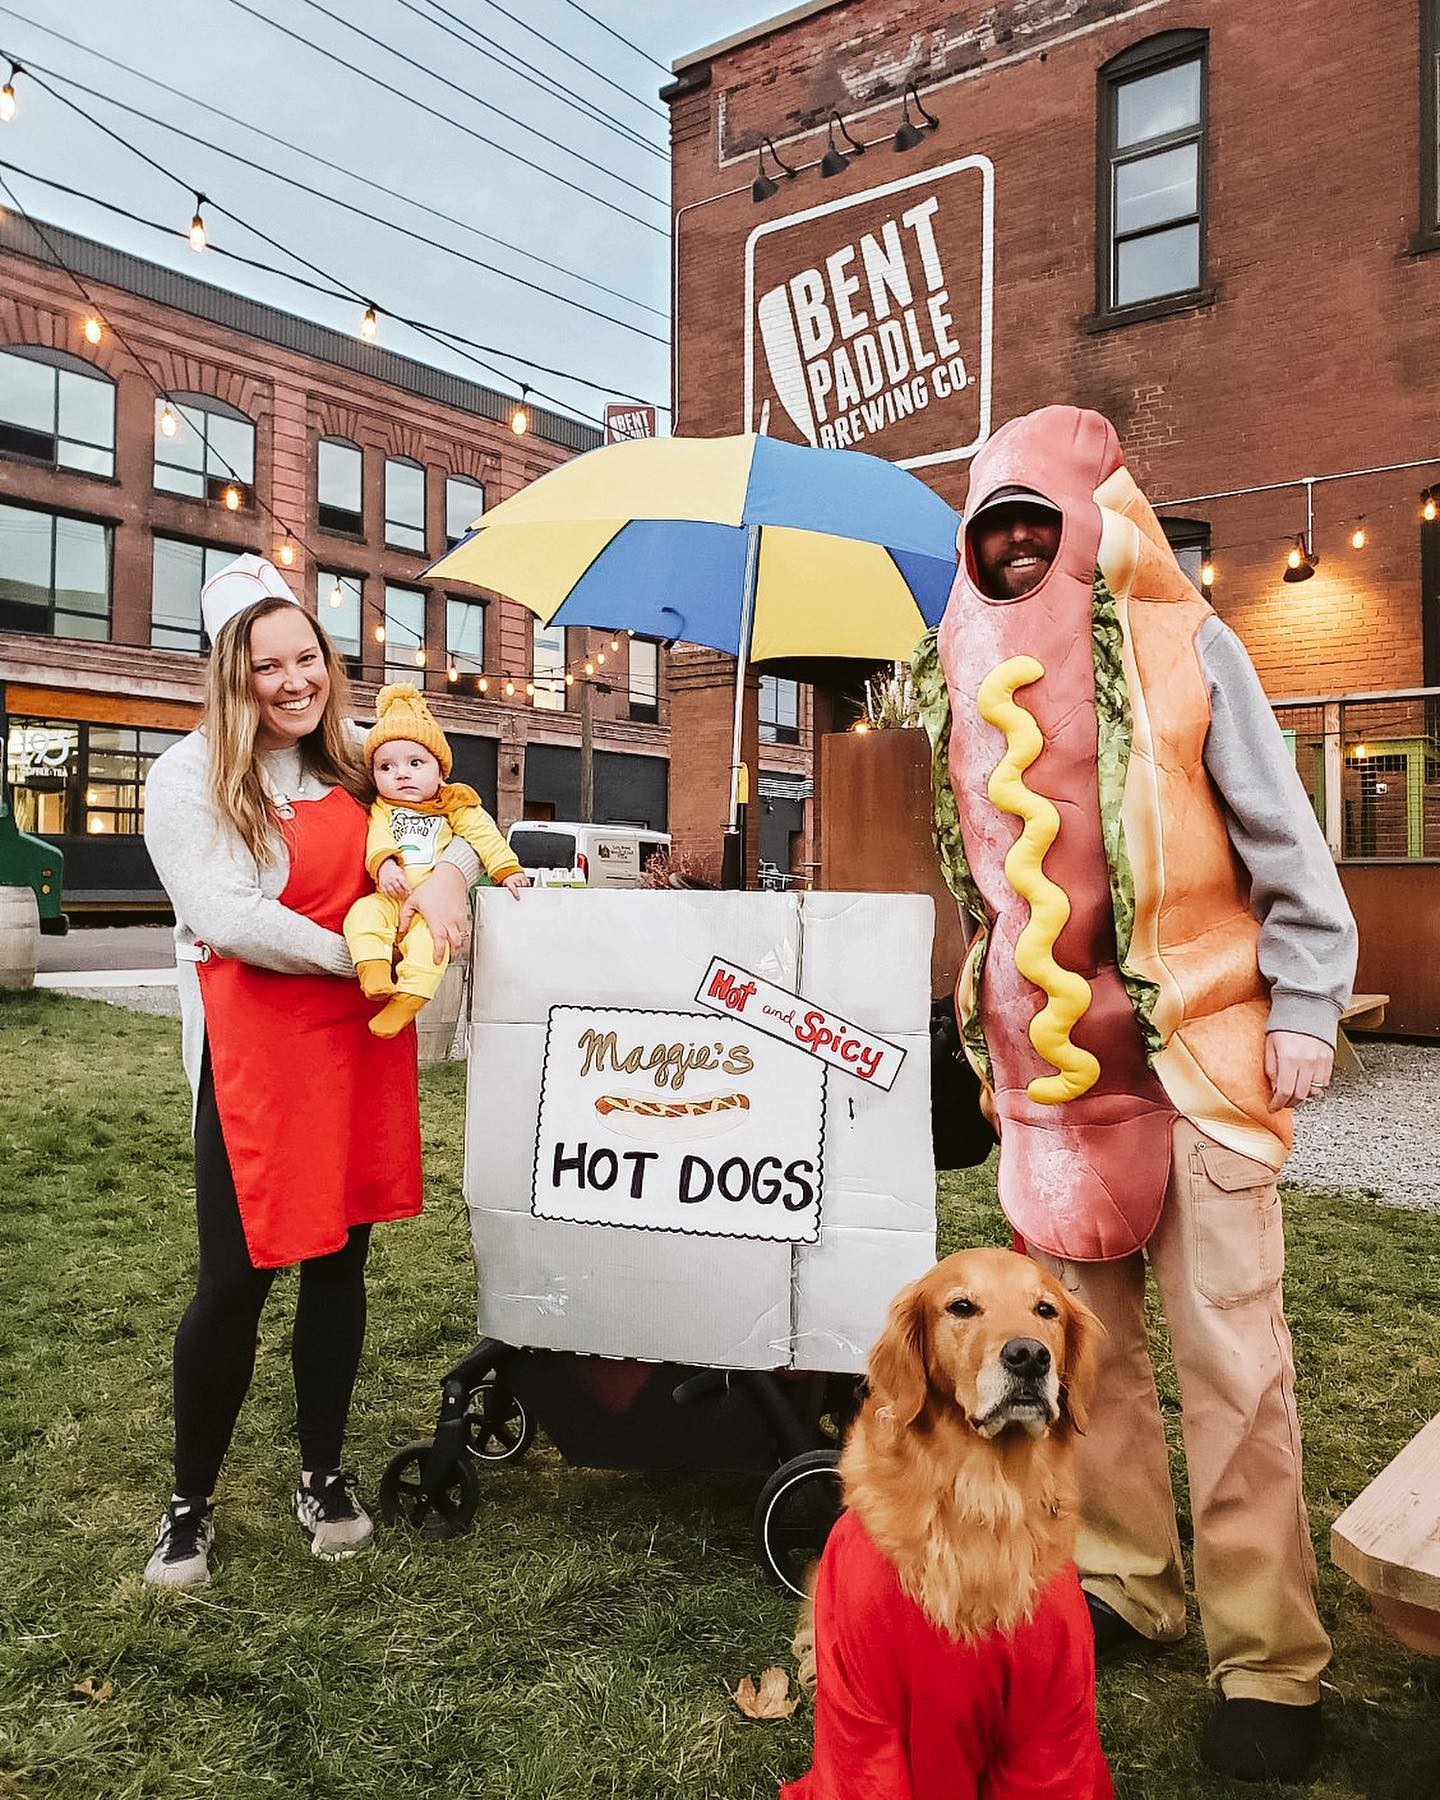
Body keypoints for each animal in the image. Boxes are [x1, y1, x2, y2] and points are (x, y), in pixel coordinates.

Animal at [781, 1245, 1108, 1800]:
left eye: (1046, 1310)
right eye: (961, 1307)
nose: (1029, 1355)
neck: (984, 1501)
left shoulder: (1051, 1721)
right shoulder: (866, 1710)